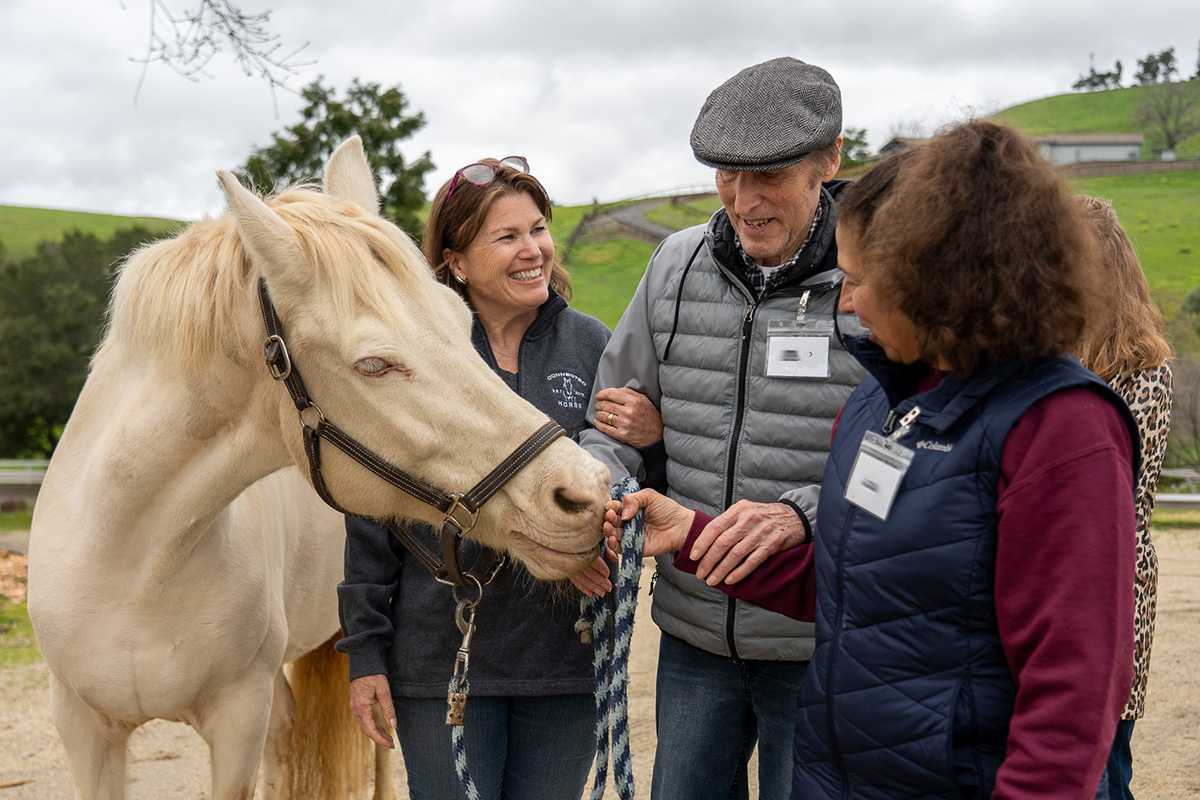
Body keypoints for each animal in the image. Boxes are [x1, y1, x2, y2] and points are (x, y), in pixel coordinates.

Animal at [28, 139, 609, 800]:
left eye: (464, 324)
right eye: (375, 365)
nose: (584, 492)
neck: (137, 558)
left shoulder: (238, 718)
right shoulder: (84, 729)